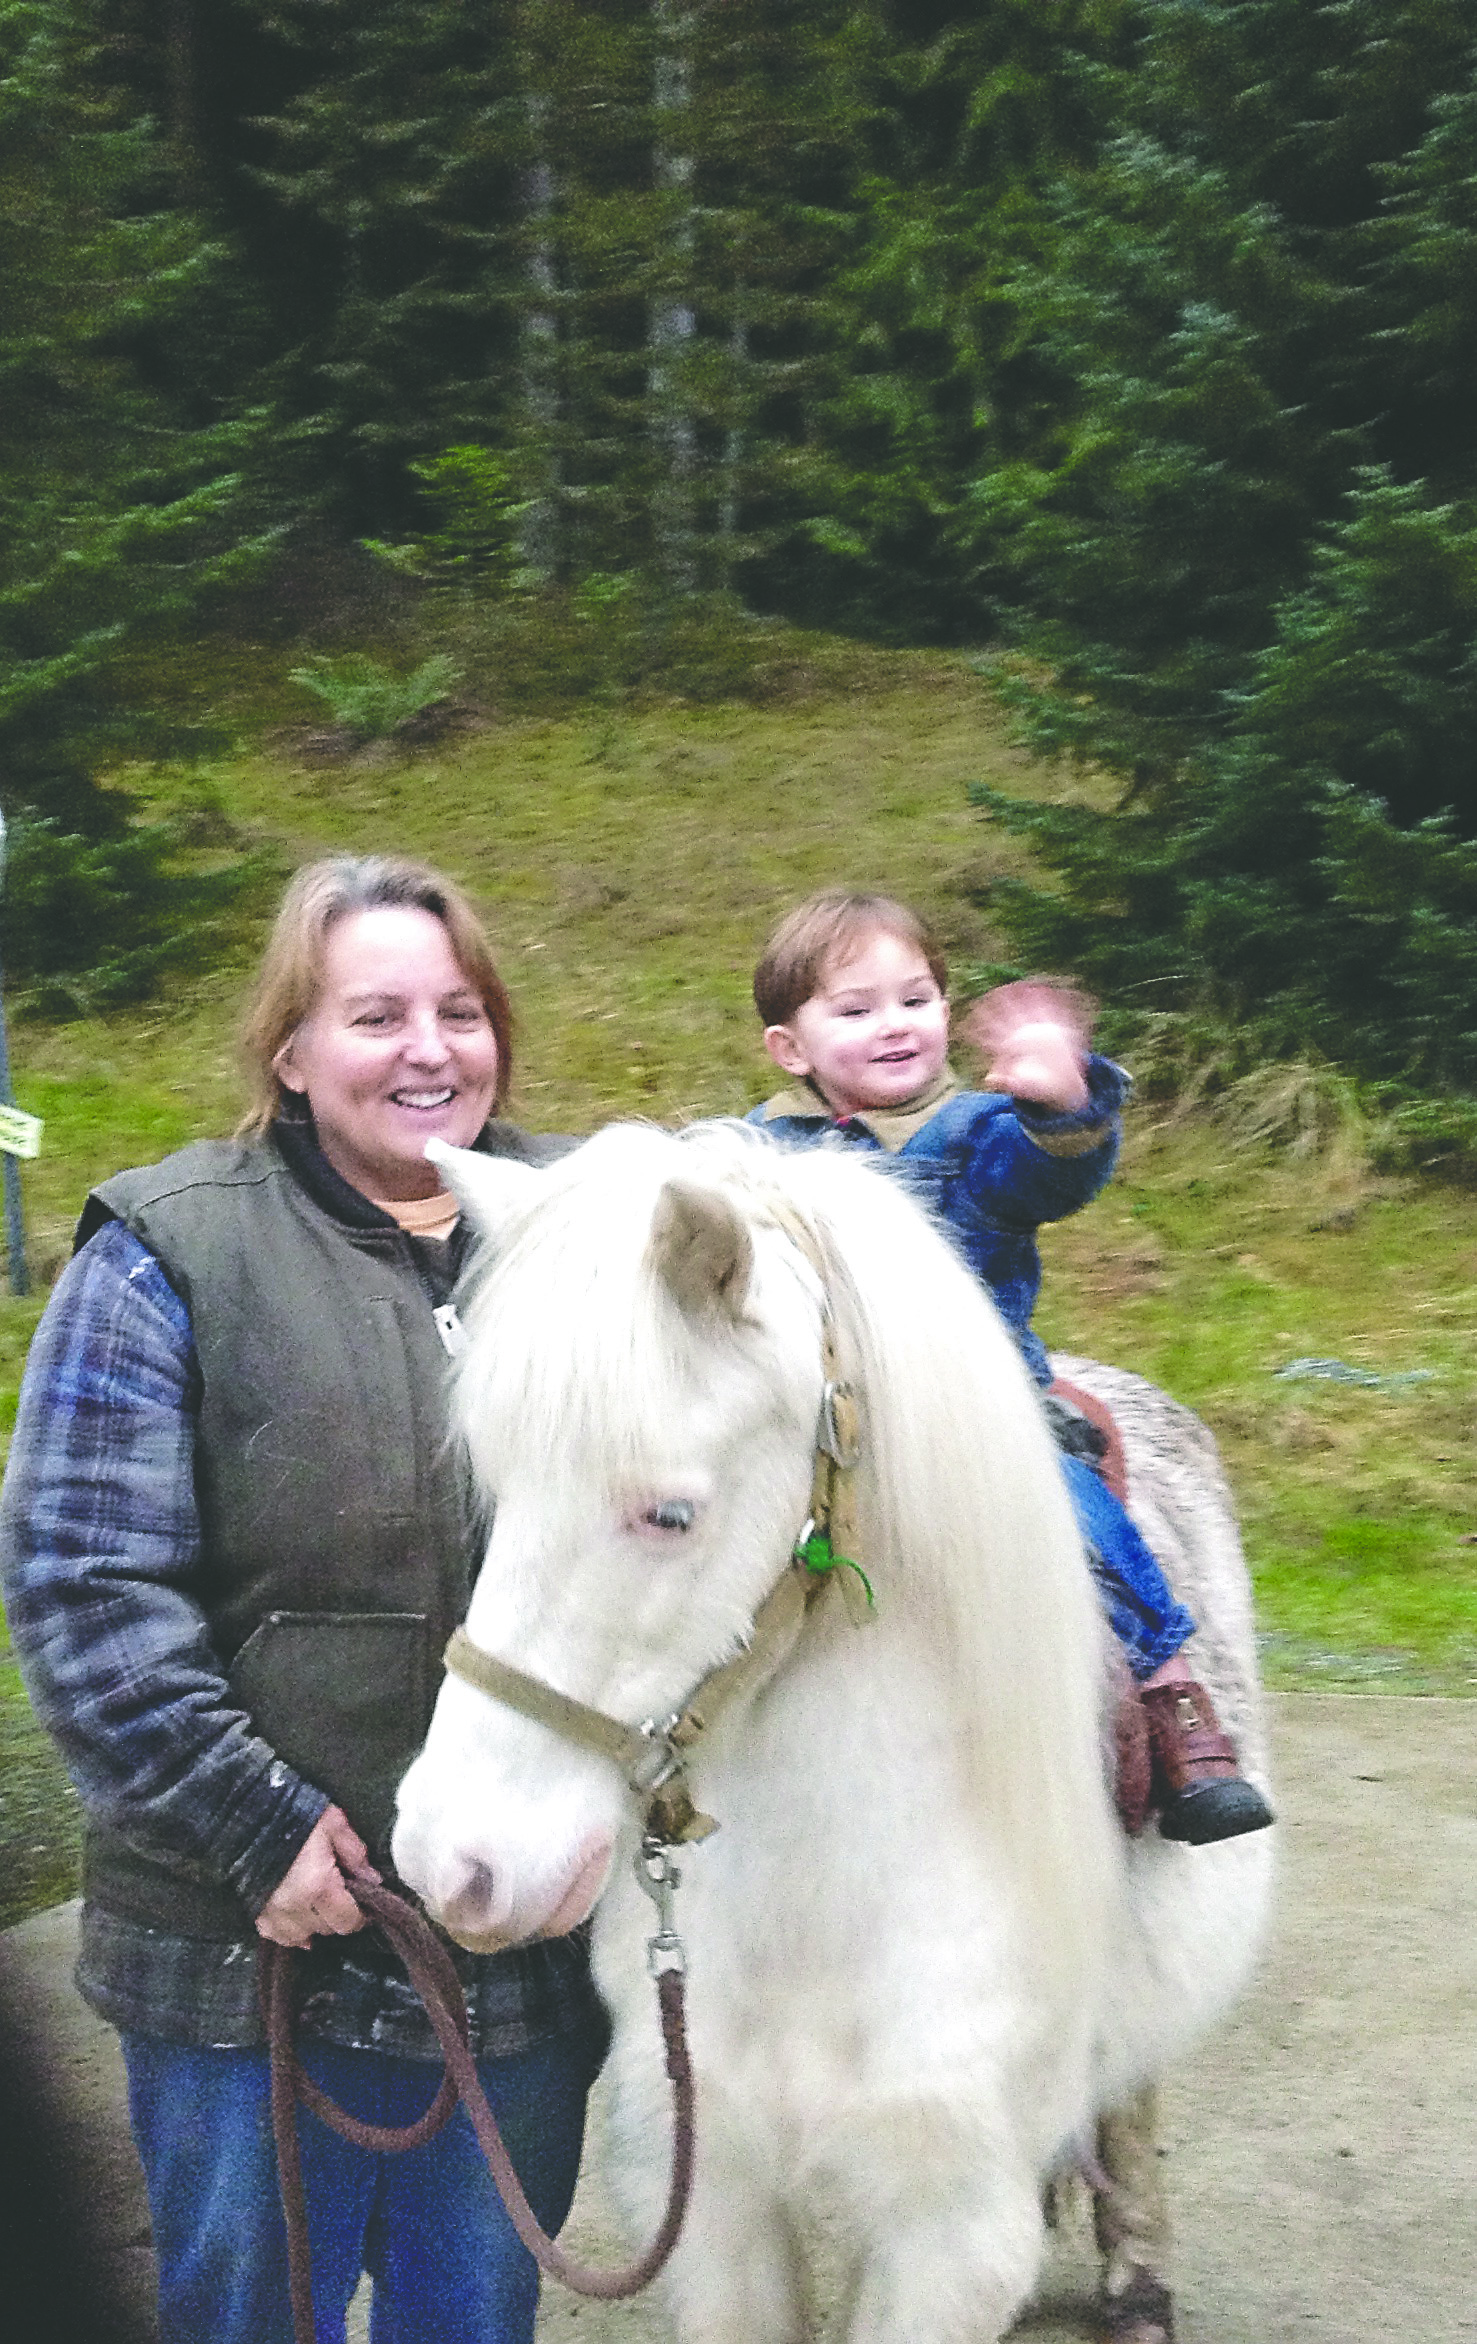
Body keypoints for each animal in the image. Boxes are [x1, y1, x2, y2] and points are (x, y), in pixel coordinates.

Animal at [391, 1119, 1274, 2344]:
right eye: (496, 1481)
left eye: (669, 1513)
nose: (453, 1862)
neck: (828, 1905)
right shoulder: (708, 2198)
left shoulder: (948, 2236)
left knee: (1130, 2107)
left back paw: (1137, 2283)